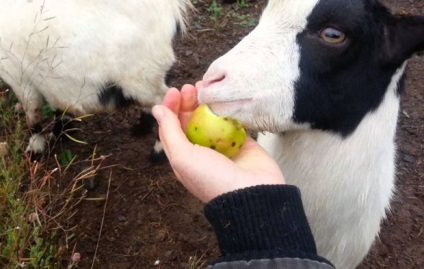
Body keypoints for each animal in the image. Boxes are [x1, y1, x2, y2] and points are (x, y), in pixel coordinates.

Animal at [0, 0, 190, 157]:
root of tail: (171, 10)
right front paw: (62, 131)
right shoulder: (52, 80)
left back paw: (159, 152)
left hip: (143, 75)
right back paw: (141, 128)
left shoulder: (20, 77)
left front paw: (35, 149)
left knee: (166, 102)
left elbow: (33, 115)